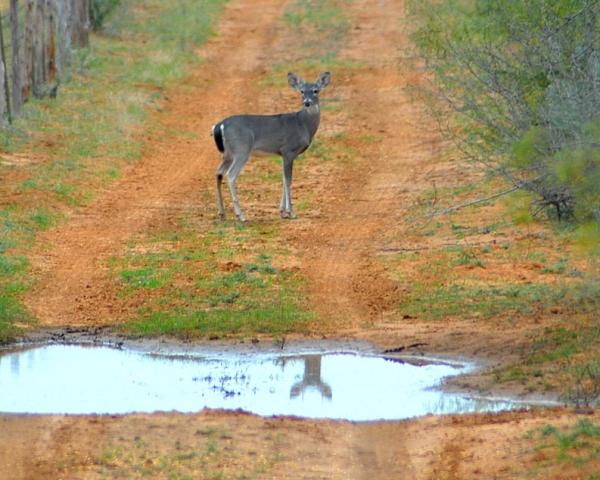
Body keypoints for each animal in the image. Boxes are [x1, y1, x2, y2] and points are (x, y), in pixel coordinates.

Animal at [212, 71, 332, 221]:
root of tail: (220, 125)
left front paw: (282, 211)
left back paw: (222, 213)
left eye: (316, 90)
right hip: (241, 149)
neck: (303, 125)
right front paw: (291, 212)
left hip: (228, 153)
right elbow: (288, 180)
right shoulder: (288, 150)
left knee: (218, 172)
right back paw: (241, 215)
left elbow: (283, 179)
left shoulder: (283, 154)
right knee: (231, 175)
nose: (307, 103)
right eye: (302, 91)